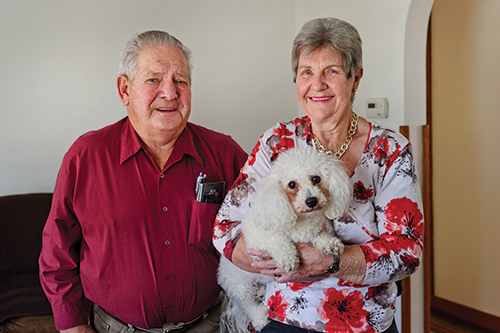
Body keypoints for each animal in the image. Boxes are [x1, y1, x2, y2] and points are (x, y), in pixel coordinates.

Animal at [218, 147, 352, 330]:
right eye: (292, 185)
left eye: (316, 178)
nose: (311, 201)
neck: (302, 221)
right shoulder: (256, 237)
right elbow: (277, 240)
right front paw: (288, 258)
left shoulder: (318, 229)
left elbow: (320, 236)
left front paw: (329, 244)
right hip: (239, 286)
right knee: (247, 304)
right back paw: (260, 318)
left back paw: (260, 292)